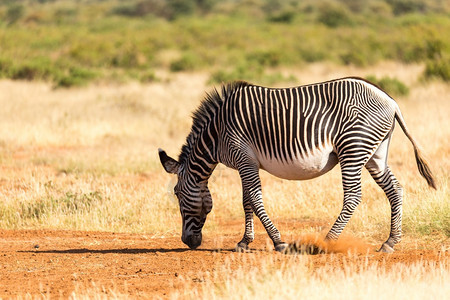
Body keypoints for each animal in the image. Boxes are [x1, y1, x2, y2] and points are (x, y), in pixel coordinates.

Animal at [159, 78, 436, 253]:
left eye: (176, 194)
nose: (188, 242)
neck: (216, 135)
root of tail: (390, 100)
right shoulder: (246, 162)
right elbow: (247, 201)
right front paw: (244, 242)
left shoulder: (243, 157)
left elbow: (255, 200)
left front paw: (279, 242)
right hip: (375, 154)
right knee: (395, 190)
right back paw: (390, 242)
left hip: (353, 147)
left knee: (353, 196)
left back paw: (325, 242)